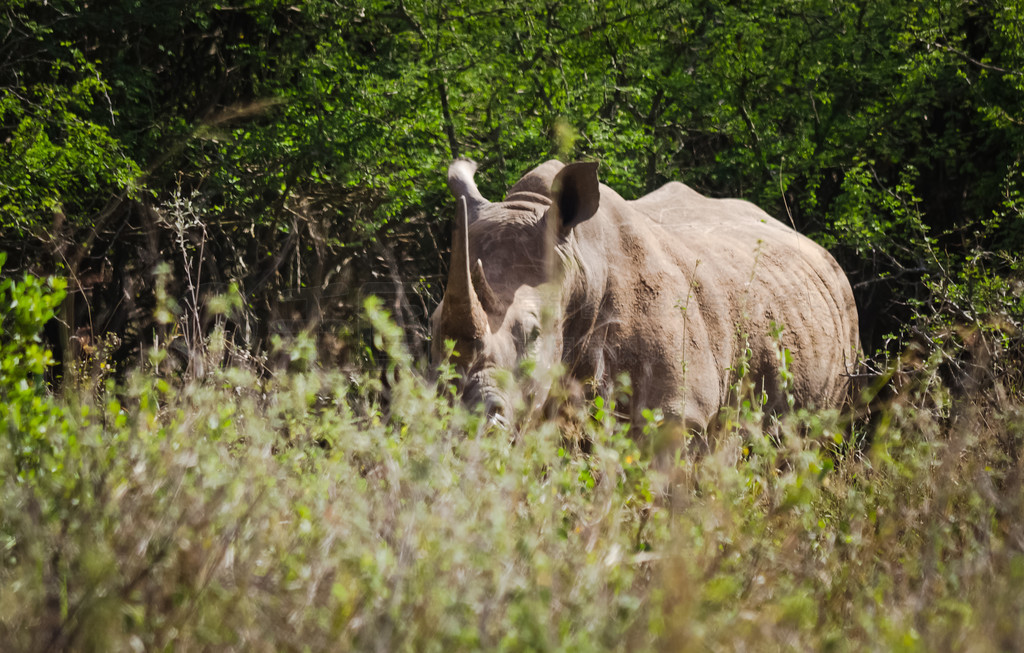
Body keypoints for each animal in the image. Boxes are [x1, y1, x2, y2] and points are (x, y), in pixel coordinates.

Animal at [428, 160, 860, 431]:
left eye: (534, 335)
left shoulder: (680, 414)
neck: (582, 266)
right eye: (432, 328)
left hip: (843, 313)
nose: (466, 420)